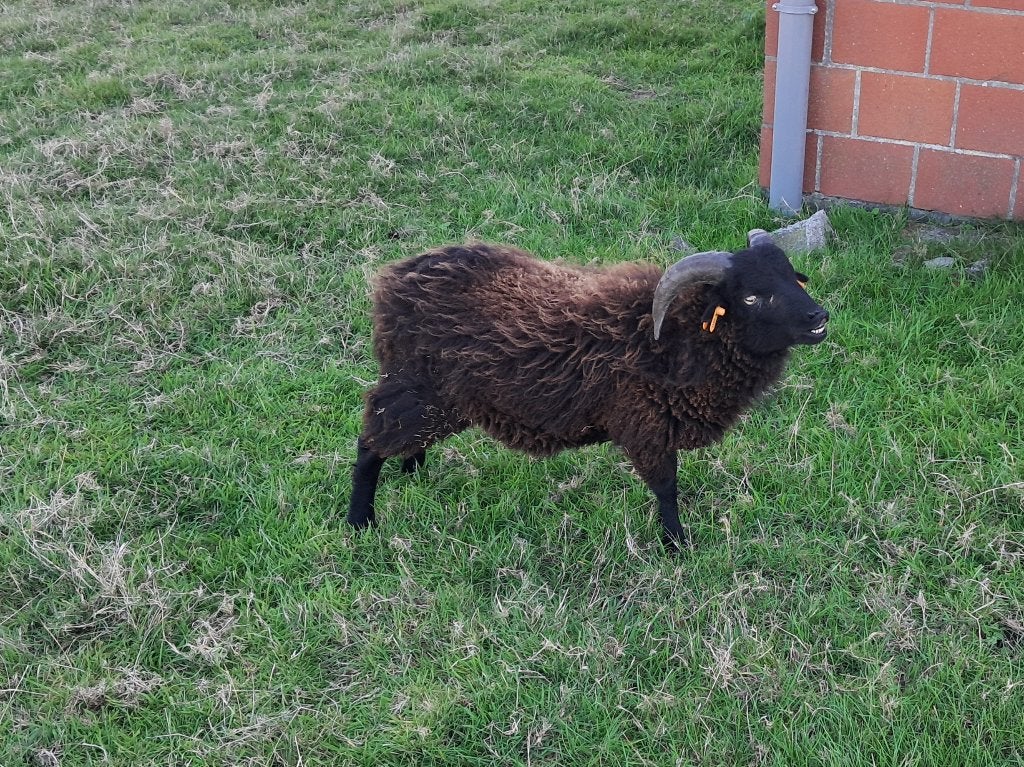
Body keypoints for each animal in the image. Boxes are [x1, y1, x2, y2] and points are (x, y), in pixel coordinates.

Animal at [347, 231, 829, 547]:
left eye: (793, 278)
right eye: (750, 297)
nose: (819, 318)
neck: (675, 335)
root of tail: (394, 282)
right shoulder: (646, 425)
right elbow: (667, 487)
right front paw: (677, 544)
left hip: (426, 396)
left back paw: (414, 471)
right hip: (419, 387)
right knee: (369, 444)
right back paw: (360, 521)